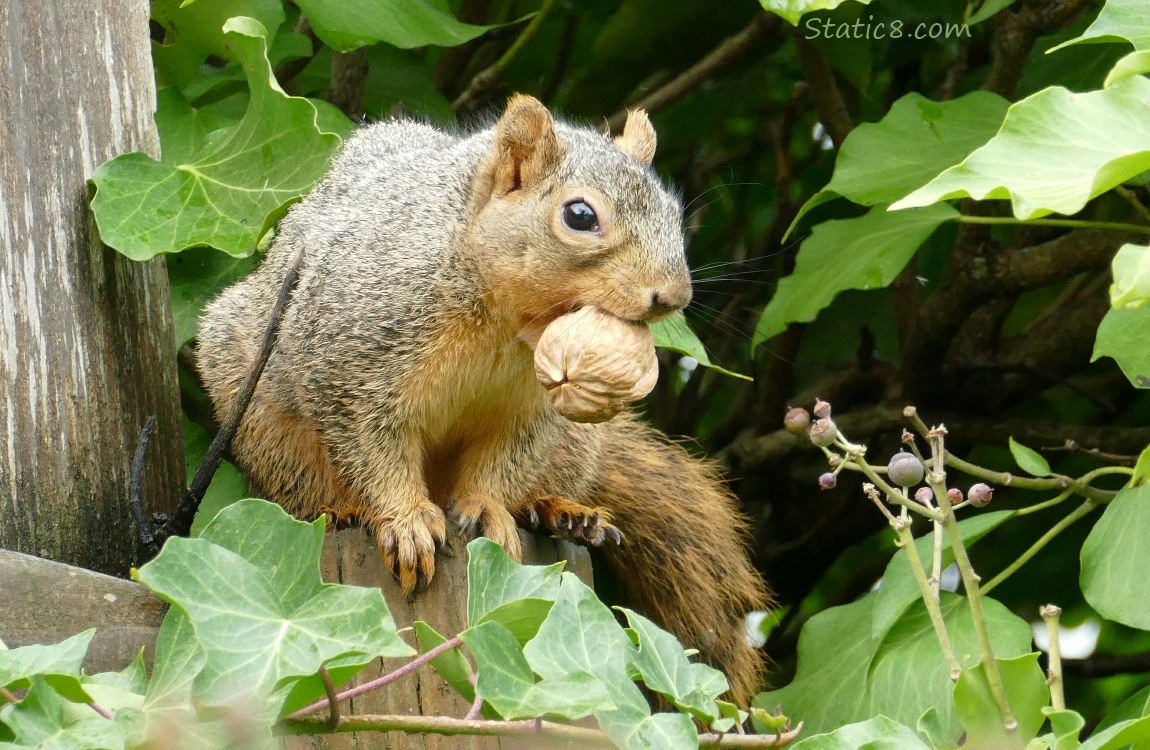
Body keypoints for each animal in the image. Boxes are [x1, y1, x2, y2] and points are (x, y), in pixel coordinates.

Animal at [197, 93, 772, 703]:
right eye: (580, 216)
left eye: (671, 212)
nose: (674, 295)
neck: (507, 319)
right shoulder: (353, 356)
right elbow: (371, 446)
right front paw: (406, 521)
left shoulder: (536, 410)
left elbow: (502, 462)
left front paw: (487, 508)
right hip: (261, 418)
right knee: (302, 487)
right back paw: (340, 513)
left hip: (576, 444)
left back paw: (560, 513)